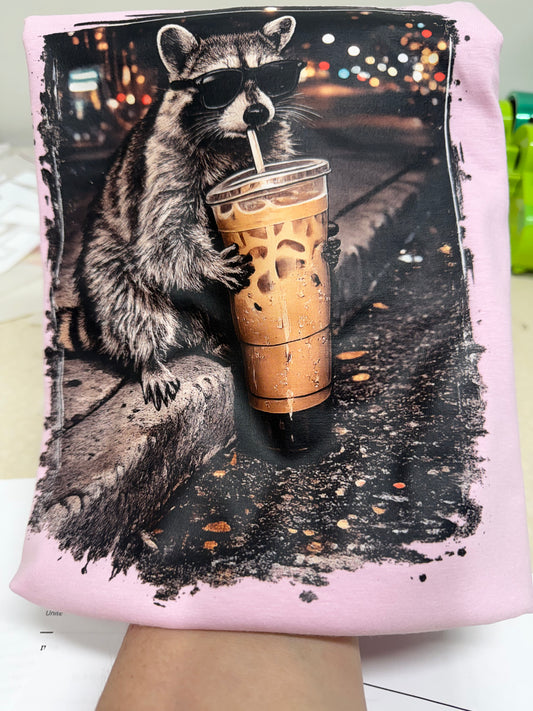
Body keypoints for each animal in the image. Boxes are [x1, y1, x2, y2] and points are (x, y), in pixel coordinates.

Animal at [73, 16, 301, 409]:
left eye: (273, 76)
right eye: (221, 83)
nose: (256, 113)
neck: (232, 142)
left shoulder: (270, 145)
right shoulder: (166, 160)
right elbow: (163, 237)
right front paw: (209, 263)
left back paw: (219, 341)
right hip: (104, 262)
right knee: (129, 301)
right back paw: (149, 358)